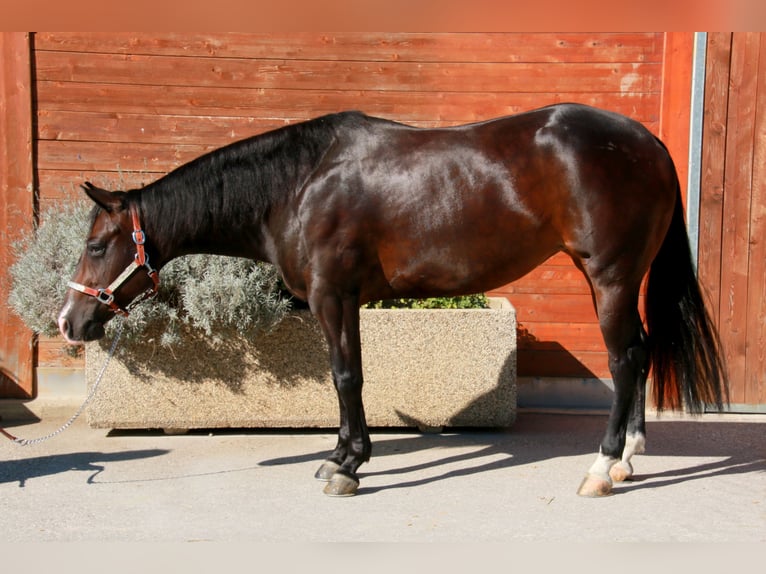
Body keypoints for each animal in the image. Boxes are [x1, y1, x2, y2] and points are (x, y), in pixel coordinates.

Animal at [57, 103, 728, 497]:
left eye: (96, 245)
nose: (68, 322)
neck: (299, 185)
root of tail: (648, 143)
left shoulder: (332, 295)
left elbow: (345, 376)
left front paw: (348, 466)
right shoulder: (346, 300)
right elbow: (347, 377)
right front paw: (340, 454)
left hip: (609, 276)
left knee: (624, 359)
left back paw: (602, 467)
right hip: (623, 279)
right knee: (640, 353)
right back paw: (628, 457)